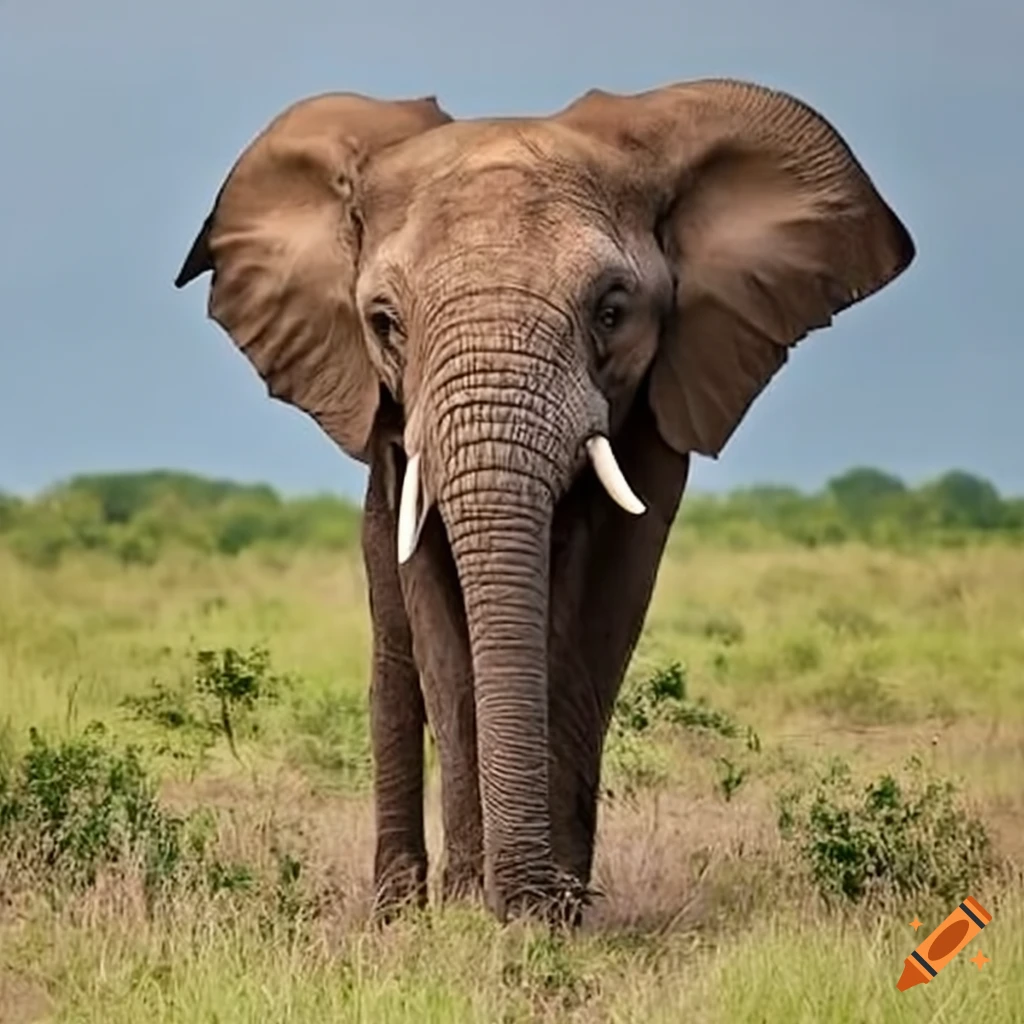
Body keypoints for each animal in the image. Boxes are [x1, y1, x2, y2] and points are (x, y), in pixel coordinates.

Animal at [174, 78, 914, 923]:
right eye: (384, 323)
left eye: (612, 311)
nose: (524, 897)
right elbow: (437, 619)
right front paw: (477, 907)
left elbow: (606, 605)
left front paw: (552, 911)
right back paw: (398, 911)